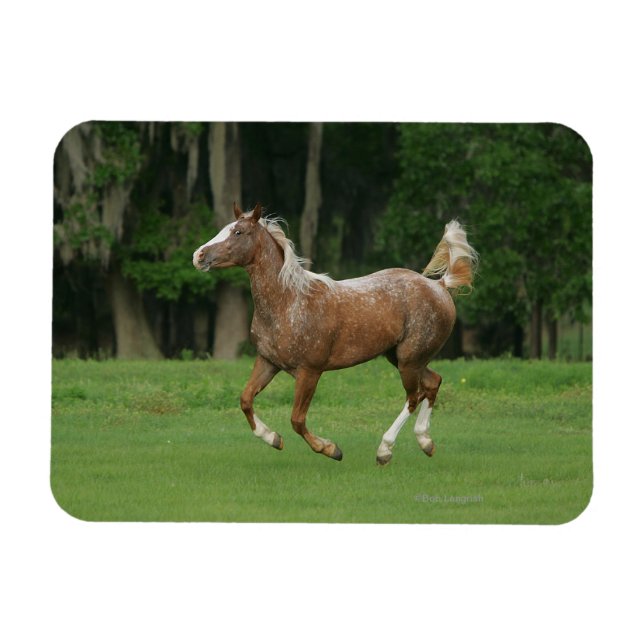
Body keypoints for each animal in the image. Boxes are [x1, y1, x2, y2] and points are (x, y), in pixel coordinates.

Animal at [193, 203, 477, 465]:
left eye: (238, 232)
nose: (198, 255)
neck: (288, 302)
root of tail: (440, 286)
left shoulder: (310, 371)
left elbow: (297, 420)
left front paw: (331, 449)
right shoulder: (268, 362)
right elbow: (245, 400)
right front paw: (273, 438)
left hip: (409, 360)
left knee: (413, 396)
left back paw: (384, 450)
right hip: (402, 358)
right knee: (433, 383)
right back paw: (425, 442)